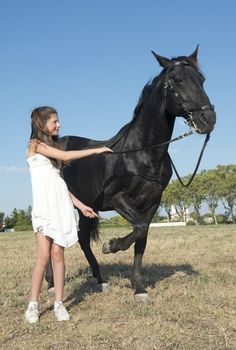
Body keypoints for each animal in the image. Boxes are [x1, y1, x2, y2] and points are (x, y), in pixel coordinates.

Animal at [45, 47, 216, 304]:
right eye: (178, 80)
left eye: (202, 80)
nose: (208, 120)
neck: (142, 152)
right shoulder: (117, 198)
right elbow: (138, 228)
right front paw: (111, 245)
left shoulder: (151, 203)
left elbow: (141, 237)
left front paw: (139, 289)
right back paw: (50, 283)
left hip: (86, 209)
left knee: (83, 239)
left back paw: (100, 280)